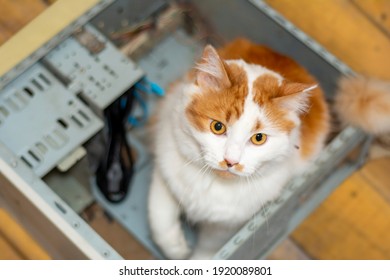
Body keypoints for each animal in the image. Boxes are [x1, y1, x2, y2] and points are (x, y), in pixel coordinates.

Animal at [148, 38, 330, 260]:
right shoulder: (166, 169)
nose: (230, 161)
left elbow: (208, 250)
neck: (214, 183)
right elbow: (160, 217)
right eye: (217, 127)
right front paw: (177, 250)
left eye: (259, 138)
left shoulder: (226, 225)